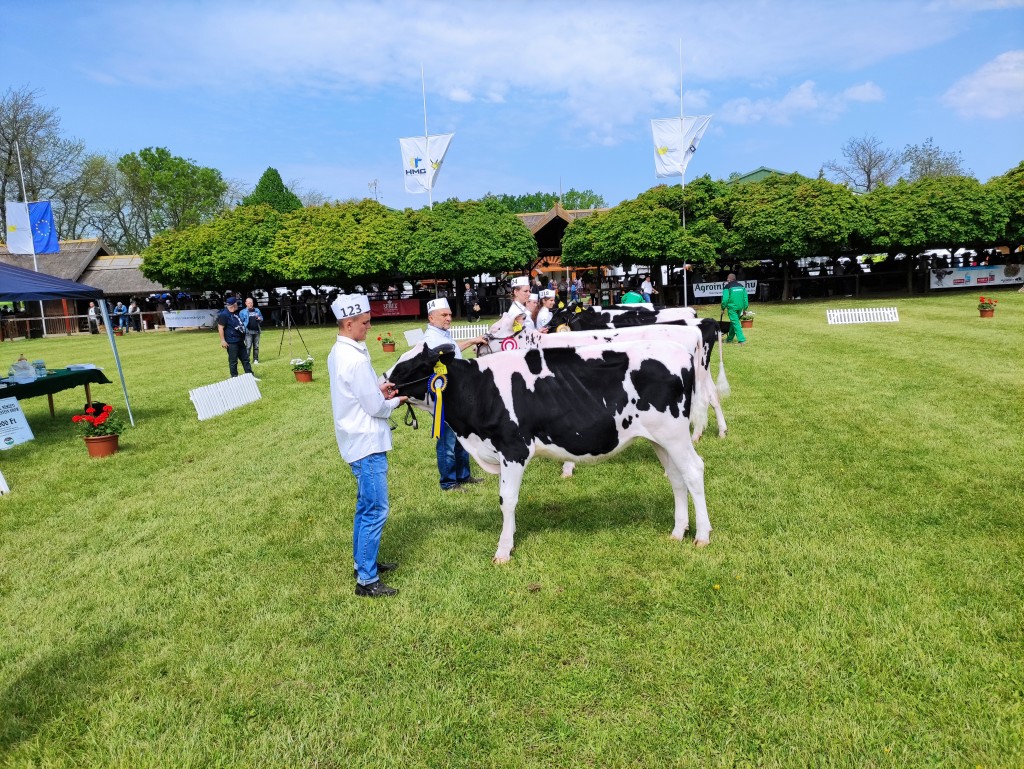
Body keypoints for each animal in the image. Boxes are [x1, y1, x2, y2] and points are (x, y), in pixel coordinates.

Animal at [385, 341, 712, 562]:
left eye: (409, 367)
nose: (383, 383)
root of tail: (679, 350)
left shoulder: (513, 447)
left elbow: (507, 500)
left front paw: (504, 550)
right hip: (661, 439)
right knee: (676, 478)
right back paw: (677, 532)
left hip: (675, 435)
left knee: (694, 472)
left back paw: (702, 536)